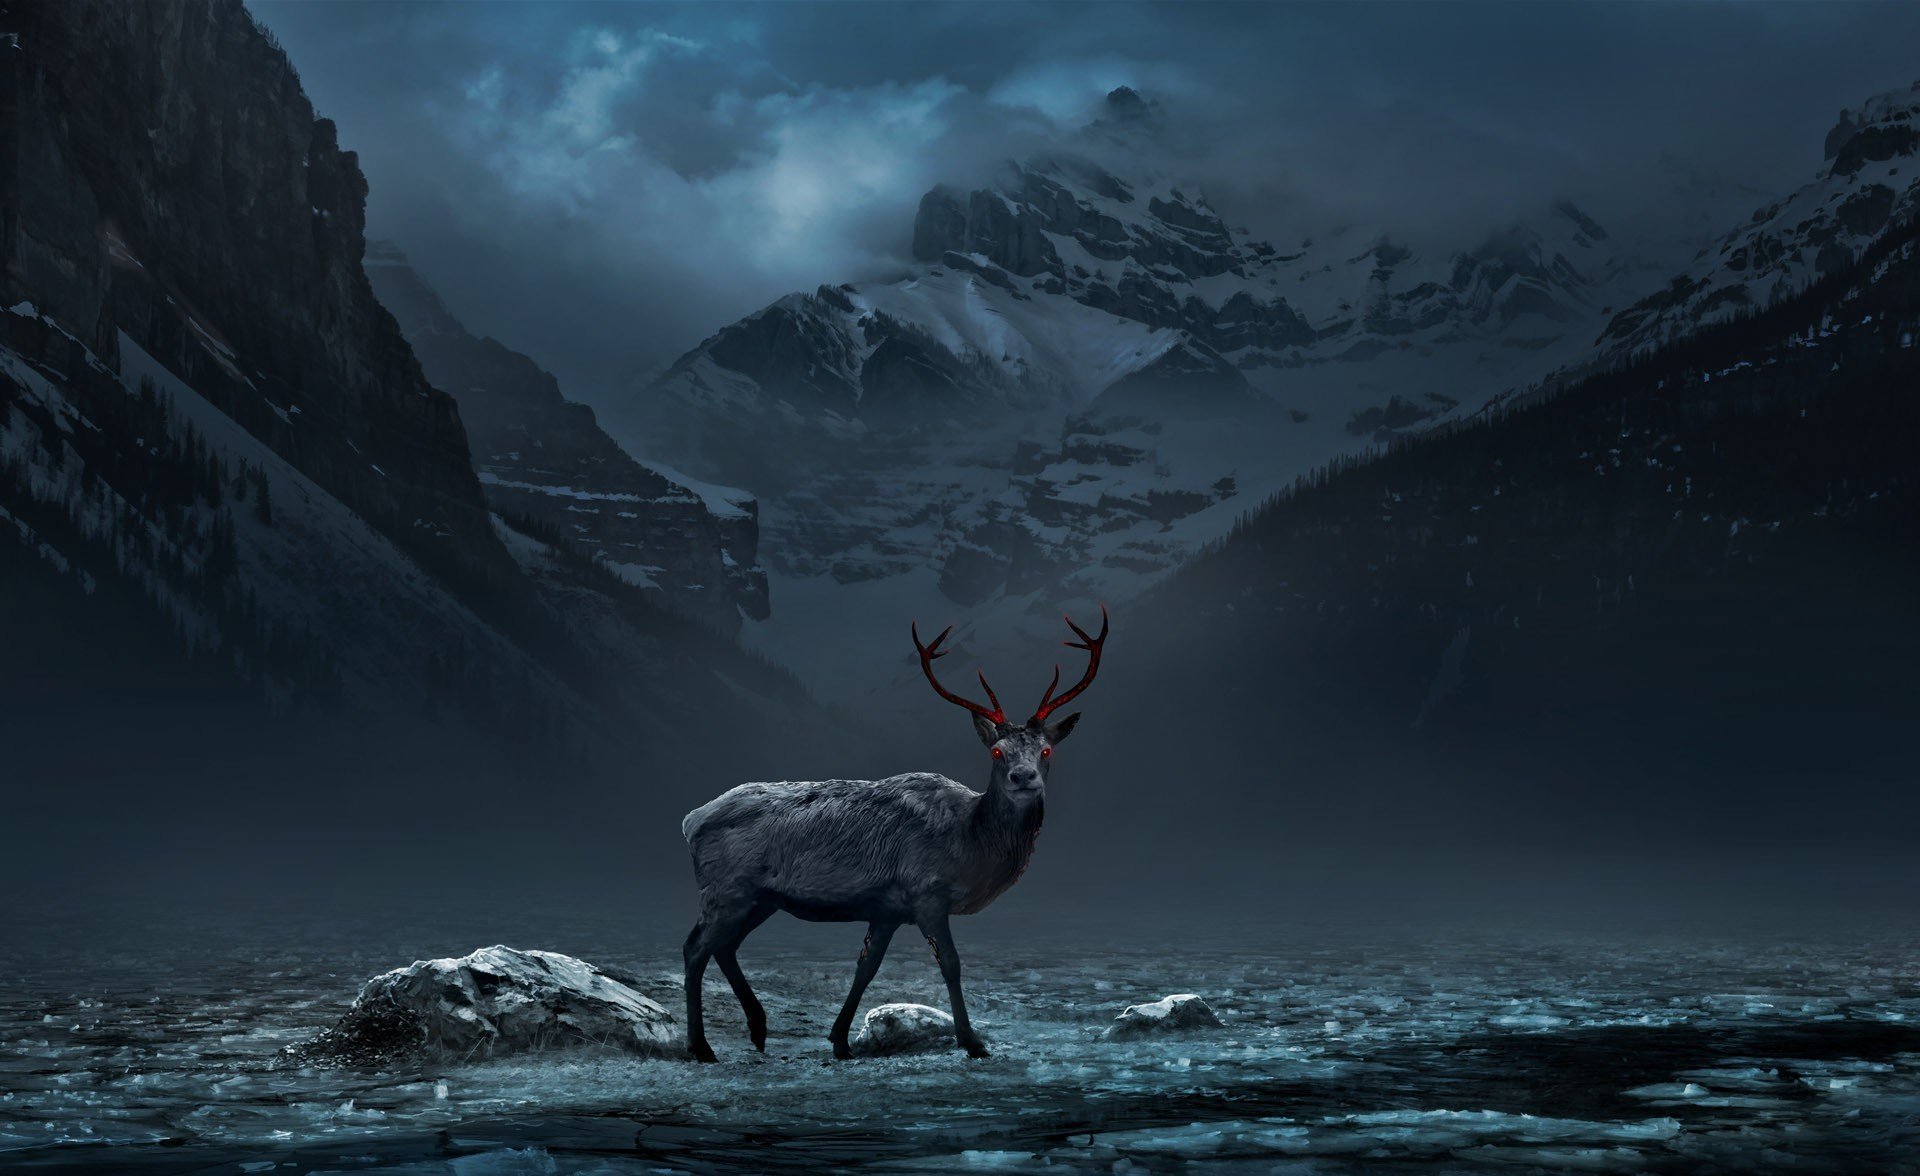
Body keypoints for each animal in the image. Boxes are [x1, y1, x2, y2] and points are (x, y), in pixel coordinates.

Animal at [679, 608, 1108, 1062]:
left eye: (1046, 750)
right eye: (997, 752)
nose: (1023, 776)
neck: (971, 843)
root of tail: (691, 820)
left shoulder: (886, 908)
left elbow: (866, 967)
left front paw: (840, 1040)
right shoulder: (927, 893)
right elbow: (951, 964)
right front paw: (973, 1042)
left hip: (761, 898)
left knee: (725, 946)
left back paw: (758, 1028)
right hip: (726, 889)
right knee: (695, 948)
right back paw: (701, 1046)